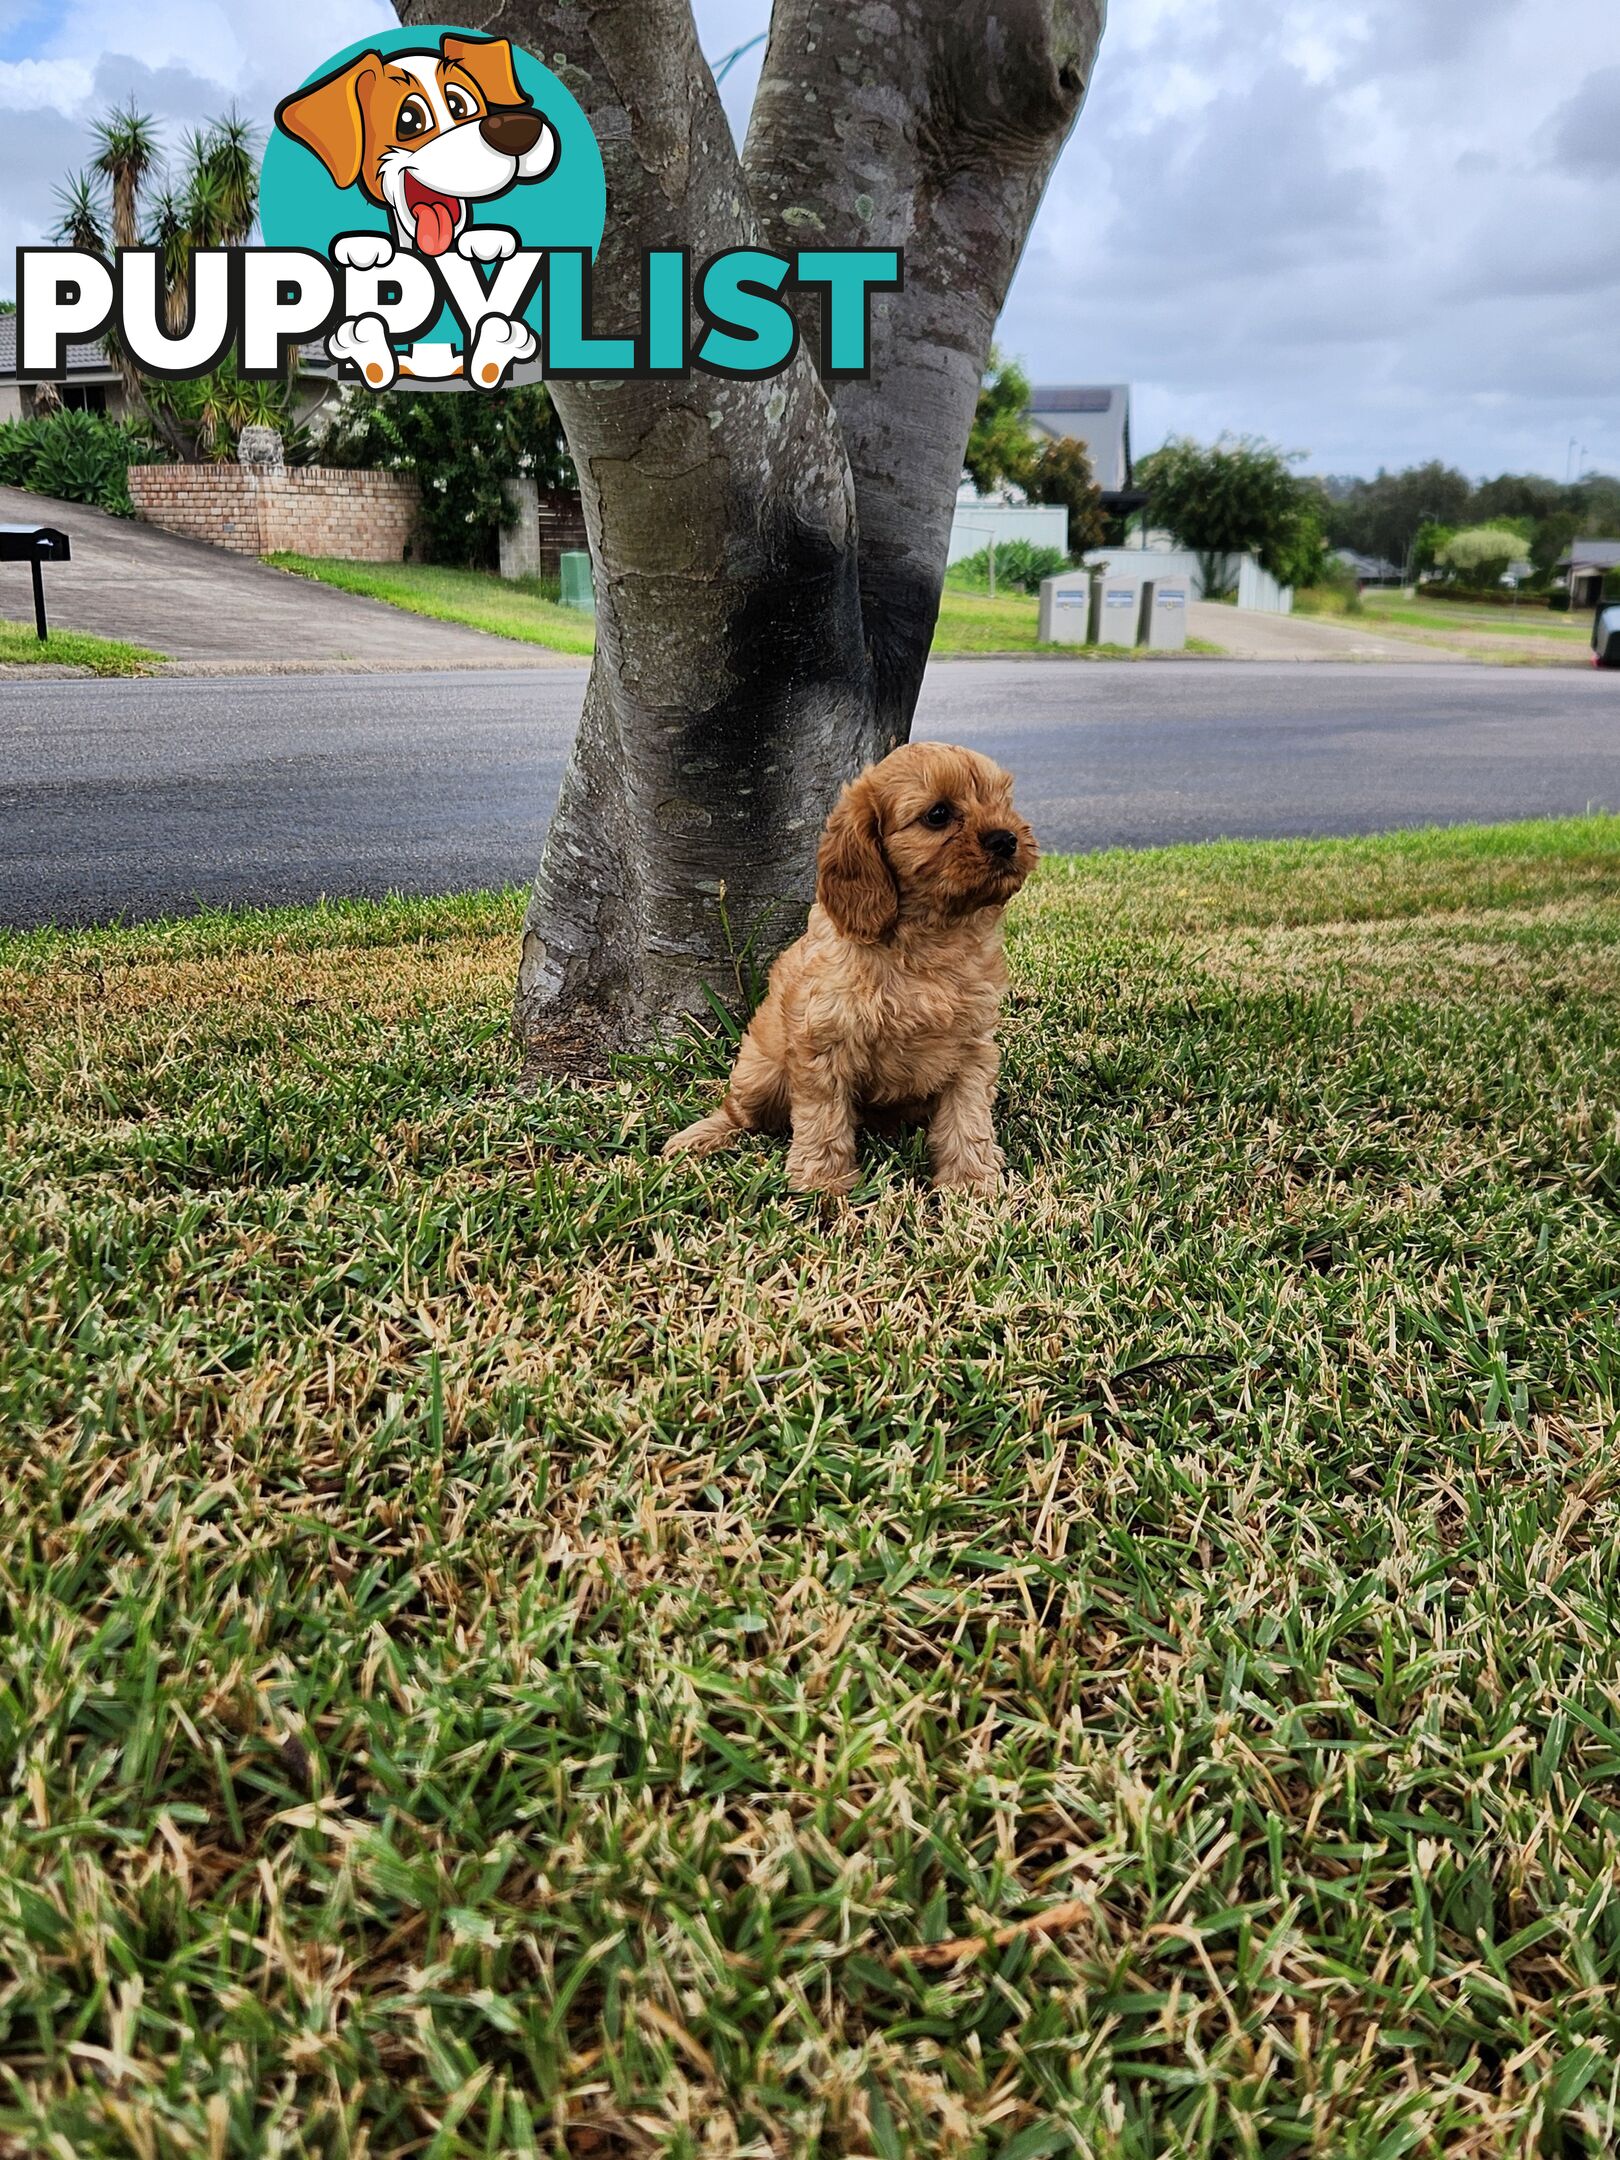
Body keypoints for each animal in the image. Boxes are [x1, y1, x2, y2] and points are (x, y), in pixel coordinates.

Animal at [660, 734, 1032, 1192]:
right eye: (938, 814)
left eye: (1002, 802)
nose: (1007, 839)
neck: (928, 939)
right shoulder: (824, 1044)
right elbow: (824, 1119)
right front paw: (823, 1184)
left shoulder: (972, 1049)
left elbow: (968, 1116)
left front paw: (971, 1182)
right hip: (760, 1074)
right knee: (740, 1113)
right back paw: (698, 1138)